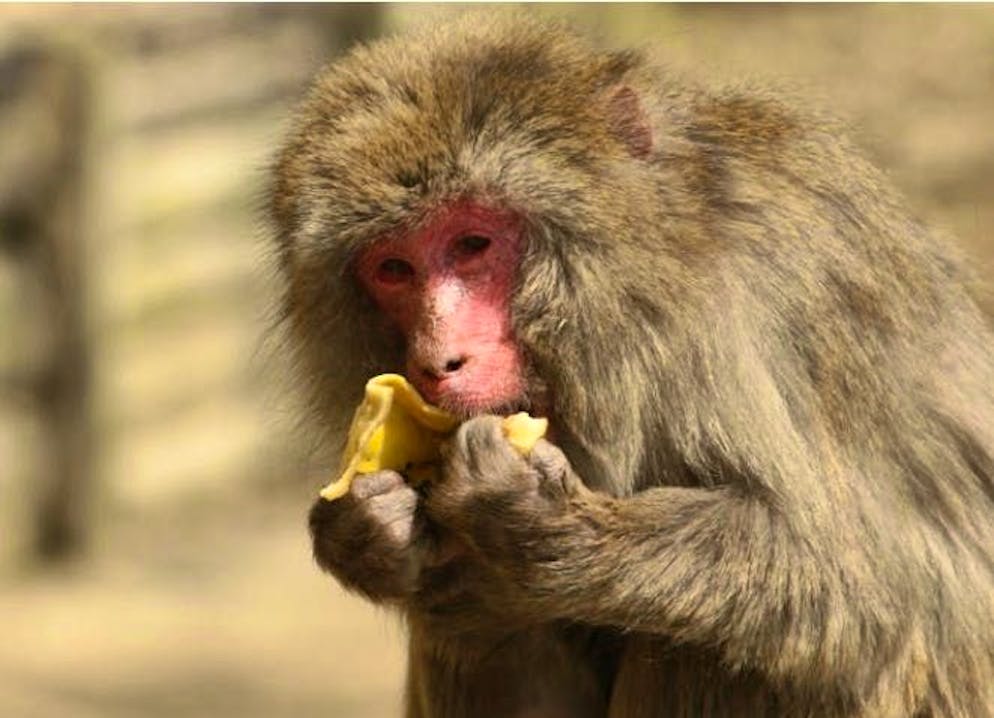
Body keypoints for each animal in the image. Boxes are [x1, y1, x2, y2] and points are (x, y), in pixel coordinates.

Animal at [269, 12, 994, 718]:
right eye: (394, 268)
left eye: (472, 244)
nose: (437, 361)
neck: (646, 281)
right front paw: (371, 536)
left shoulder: (753, 307)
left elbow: (863, 586)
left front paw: (535, 519)